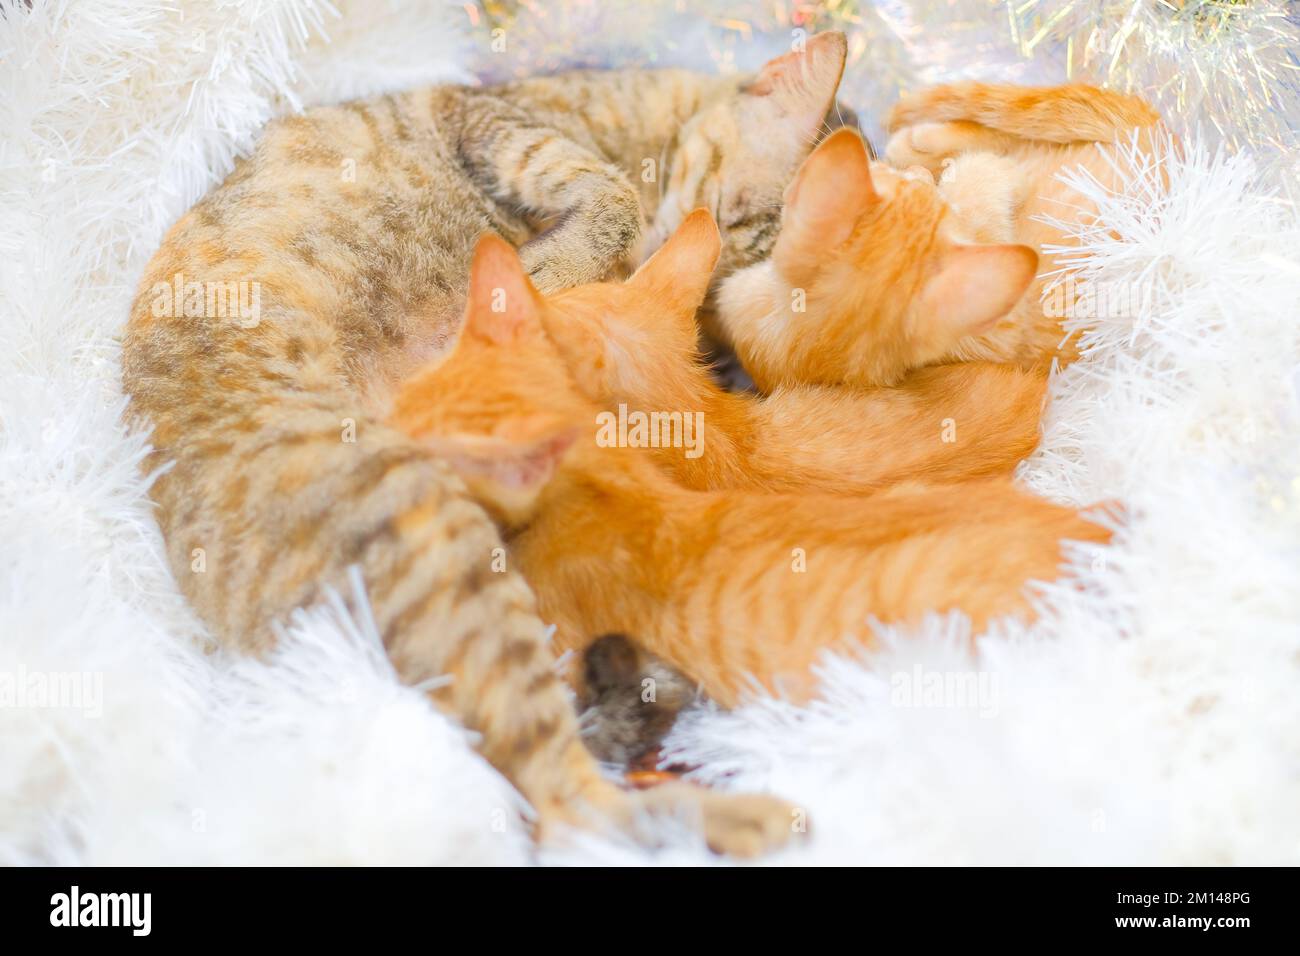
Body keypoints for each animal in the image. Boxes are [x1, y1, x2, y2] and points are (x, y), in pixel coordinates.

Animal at [119, 35, 852, 858]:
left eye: (719, 326)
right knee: (564, 805)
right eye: (722, 217)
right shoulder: (487, 117)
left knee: (569, 805)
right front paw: (553, 268)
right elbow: (613, 199)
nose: (659, 277)